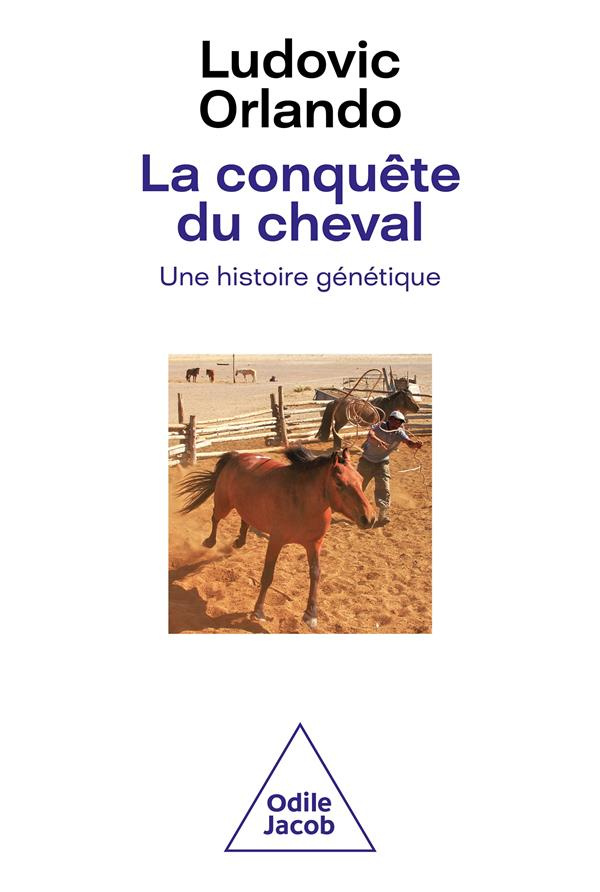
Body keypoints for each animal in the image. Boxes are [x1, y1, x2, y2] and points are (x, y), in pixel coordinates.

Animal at [178, 447, 375, 629]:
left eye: (360, 479)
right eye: (339, 483)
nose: (369, 518)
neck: (302, 502)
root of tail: (236, 456)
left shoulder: (314, 544)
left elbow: (316, 574)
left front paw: (311, 614)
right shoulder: (276, 541)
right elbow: (268, 575)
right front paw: (258, 611)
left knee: (245, 519)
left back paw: (240, 541)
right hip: (224, 504)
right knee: (215, 517)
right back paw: (210, 541)